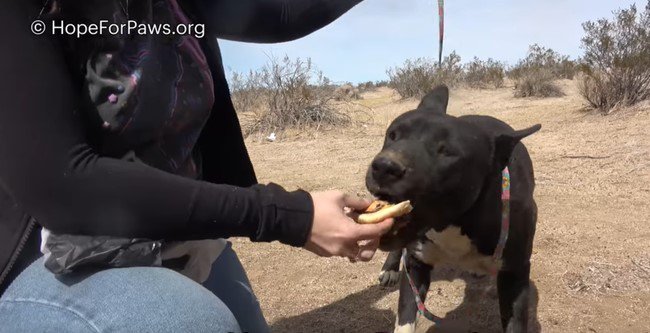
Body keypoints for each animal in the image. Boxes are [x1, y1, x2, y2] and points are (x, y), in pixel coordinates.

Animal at [368, 85, 540, 332]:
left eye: (447, 151)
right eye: (392, 135)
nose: (384, 166)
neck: (455, 222)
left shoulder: (514, 275)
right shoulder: (416, 266)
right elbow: (405, 319)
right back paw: (390, 268)